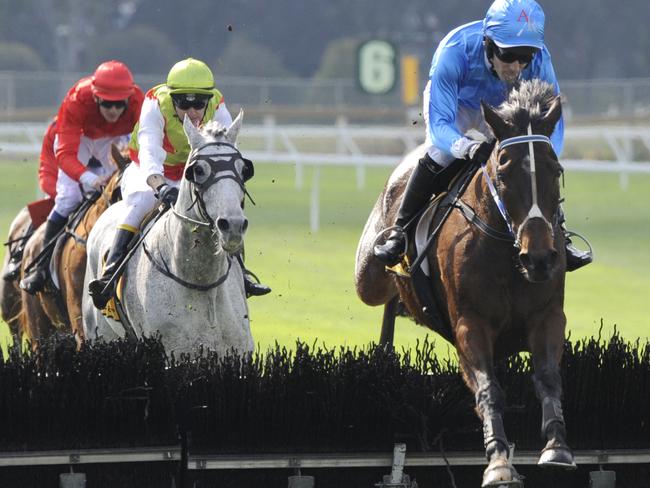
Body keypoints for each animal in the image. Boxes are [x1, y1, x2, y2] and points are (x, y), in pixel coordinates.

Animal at [354, 81, 572, 488]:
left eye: (556, 168)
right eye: (503, 169)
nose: (538, 257)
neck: (507, 251)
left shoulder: (548, 315)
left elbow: (549, 378)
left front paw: (557, 447)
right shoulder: (471, 324)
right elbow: (488, 389)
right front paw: (499, 462)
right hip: (369, 278)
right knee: (383, 295)